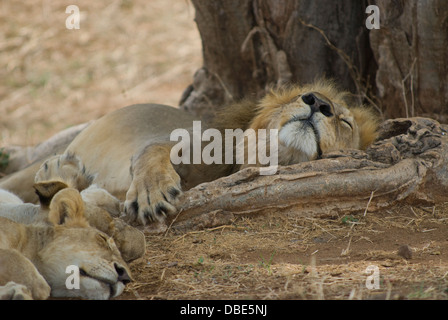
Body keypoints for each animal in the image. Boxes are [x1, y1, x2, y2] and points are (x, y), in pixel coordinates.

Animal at [0, 80, 380, 225]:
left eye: (345, 121)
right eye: (301, 96)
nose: (317, 102)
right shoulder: (197, 143)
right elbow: (153, 150)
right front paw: (151, 193)